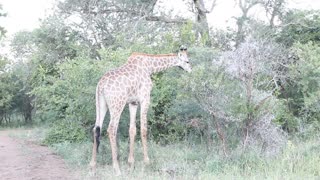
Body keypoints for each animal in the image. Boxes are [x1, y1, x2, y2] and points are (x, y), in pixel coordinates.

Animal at [89, 45, 191, 175]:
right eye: (187, 61)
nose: (190, 70)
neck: (150, 67)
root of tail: (100, 86)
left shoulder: (133, 102)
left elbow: (132, 129)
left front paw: (131, 164)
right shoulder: (145, 98)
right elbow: (143, 128)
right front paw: (147, 162)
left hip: (101, 104)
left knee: (96, 128)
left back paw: (92, 167)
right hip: (117, 104)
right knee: (111, 129)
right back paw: (116, 169)